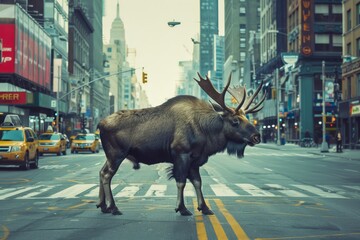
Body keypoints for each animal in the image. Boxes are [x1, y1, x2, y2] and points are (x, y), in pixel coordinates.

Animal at [97, 73, 266, 216]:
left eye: (247, 118)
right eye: (235, 121)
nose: (257, 136)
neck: (207, 133)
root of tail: (100, 124)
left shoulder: (195, 159)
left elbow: (198, 182)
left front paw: (204, 207)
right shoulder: (181, 154)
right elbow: (181, 182)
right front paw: (182, 208)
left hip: (110, 156)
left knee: (101, 172)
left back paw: (103, 205)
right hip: (116, 154)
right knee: (106, 175)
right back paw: (113, 207)